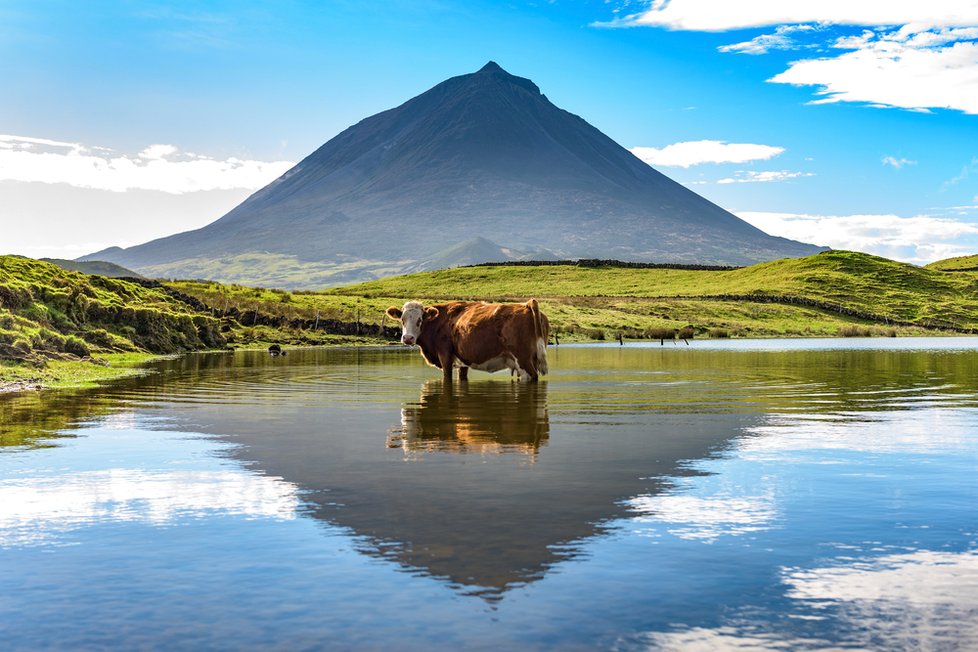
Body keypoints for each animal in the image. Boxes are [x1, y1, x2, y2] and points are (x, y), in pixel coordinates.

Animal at [386, 296, 548, 380]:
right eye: (402, 319)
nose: (408, 338)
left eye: (420, 320)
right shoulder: (462, 361)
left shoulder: (445, 355)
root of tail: (526, 305)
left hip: (523, 360)